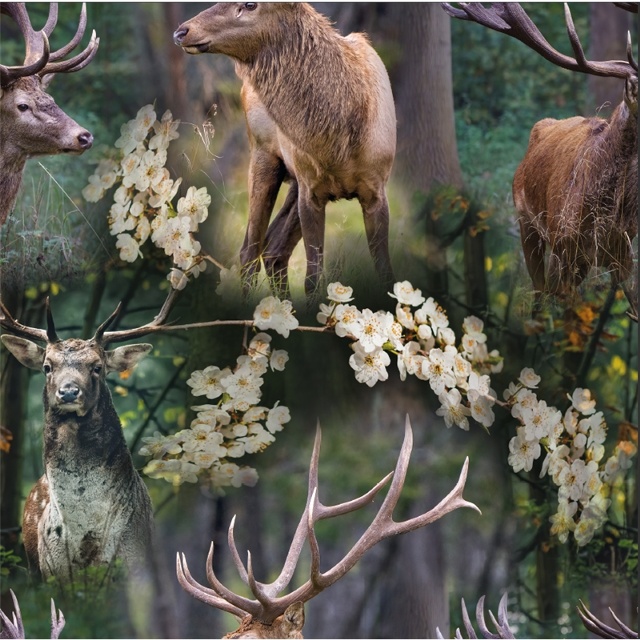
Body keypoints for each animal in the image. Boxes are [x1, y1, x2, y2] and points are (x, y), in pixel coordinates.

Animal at [173, 2, 397, 297]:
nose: (181, 31)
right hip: (264, 156)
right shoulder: (311, 192)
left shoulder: (375, 190)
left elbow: (386, 273)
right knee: (250, 251)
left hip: (293, 182)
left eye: (250, 5)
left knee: (273, 249)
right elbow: (313, 279)